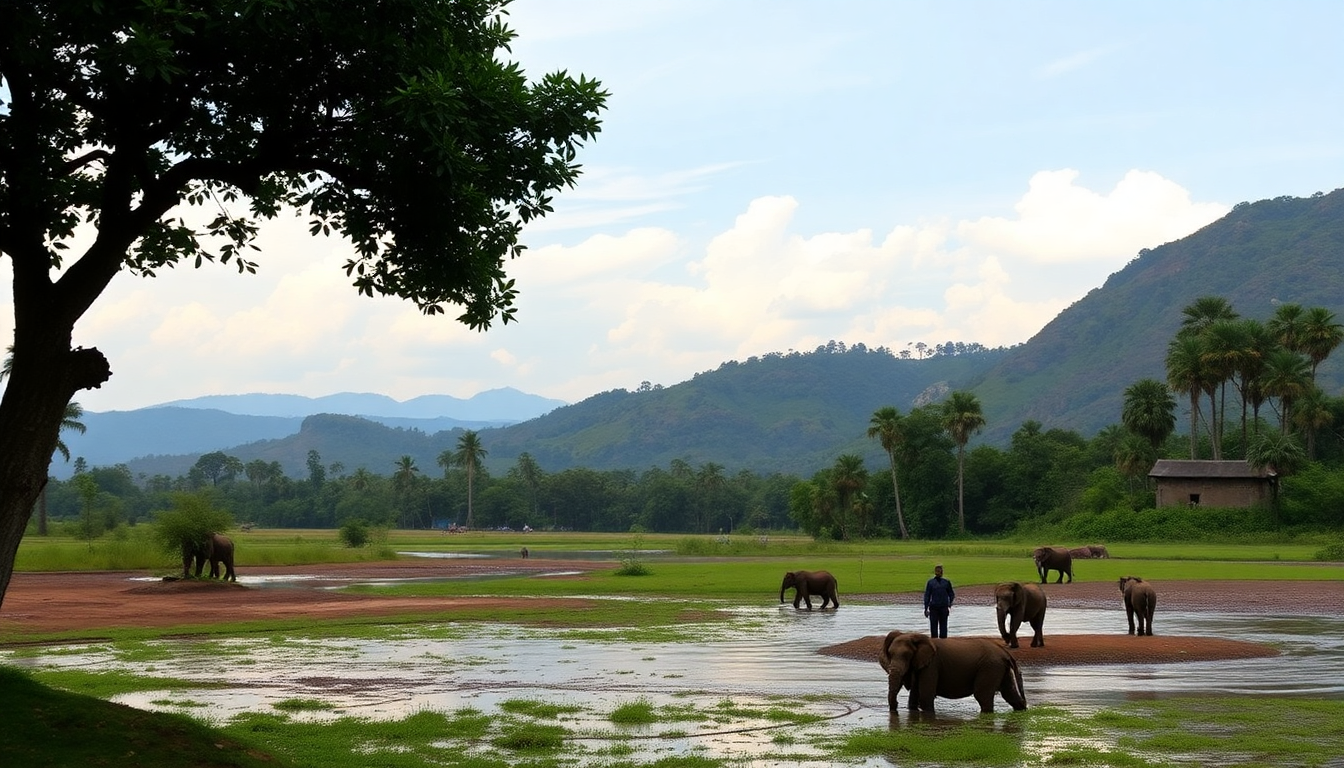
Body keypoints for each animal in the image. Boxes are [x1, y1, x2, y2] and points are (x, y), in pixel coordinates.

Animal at [878, 630, 1027, 713]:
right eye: (890, 654)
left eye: (907, 656)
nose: (896, 707)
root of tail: (1005, 652)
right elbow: (914, 696)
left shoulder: (932, 665)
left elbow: (925, 696)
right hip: (1000, 668)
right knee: (1010, 694)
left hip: (990, 667)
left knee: (982, 696)